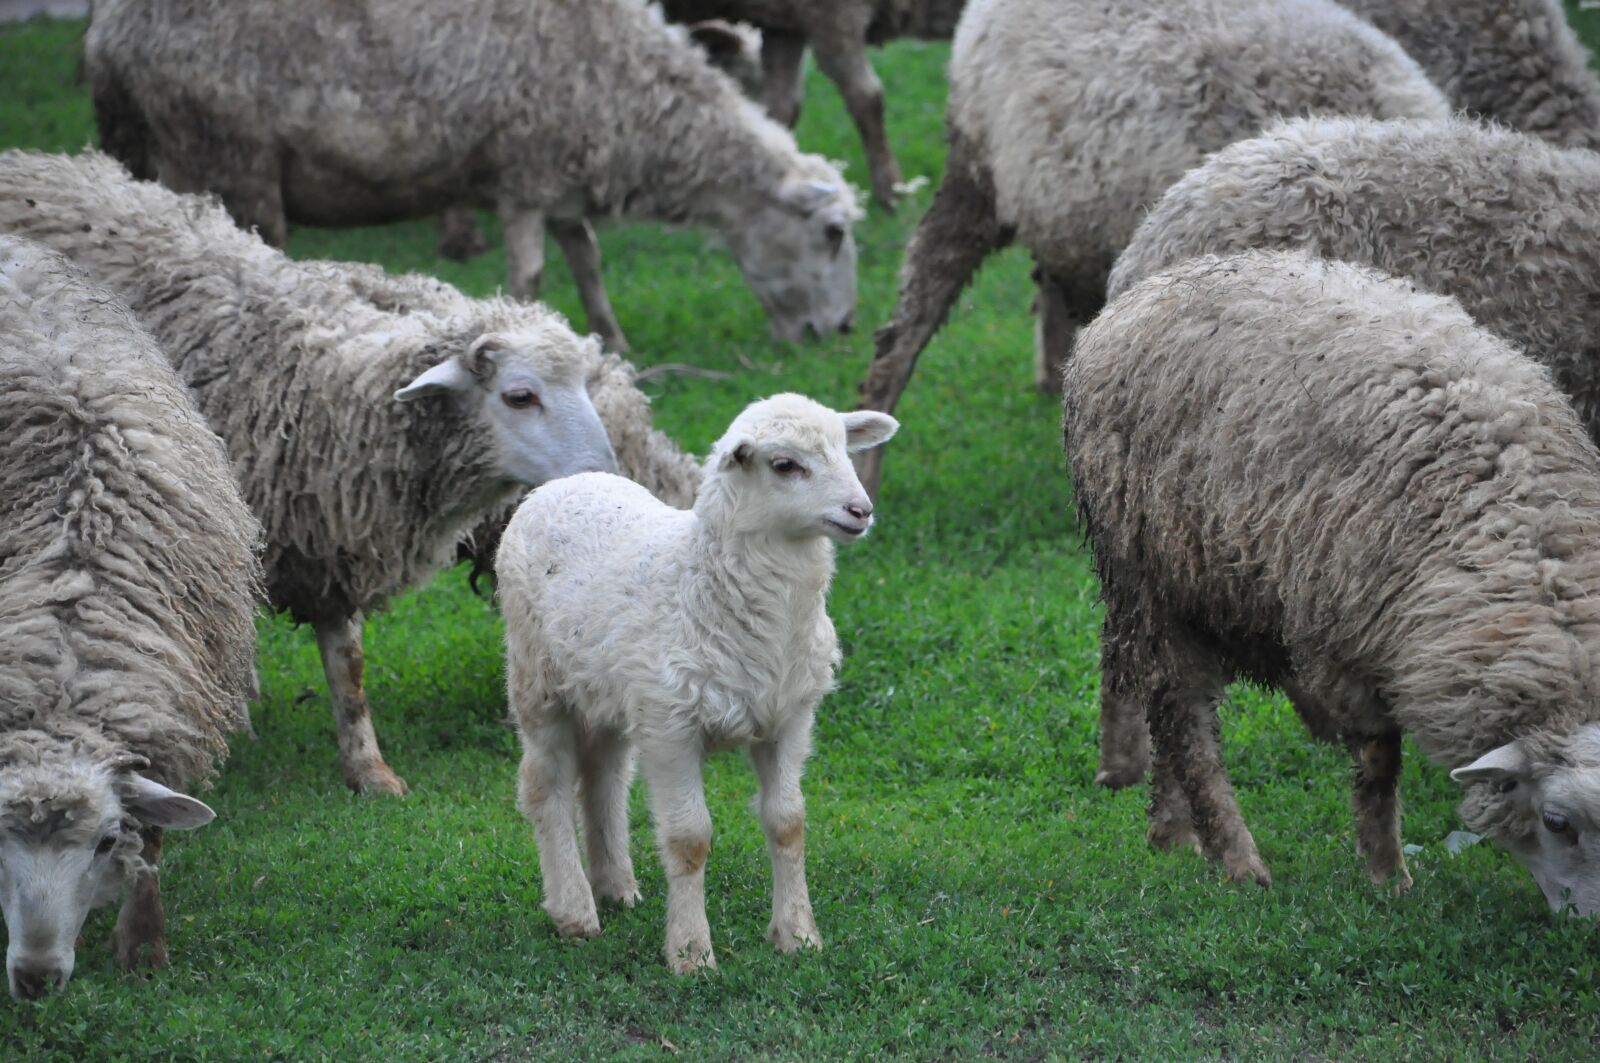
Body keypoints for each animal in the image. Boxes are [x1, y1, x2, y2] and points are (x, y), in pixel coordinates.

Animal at [0, 149, 699, 798]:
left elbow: (349, 666)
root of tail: (36, 163)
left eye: (582, 384)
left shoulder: (327, 543)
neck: (323, 391)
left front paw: (368, 770)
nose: (603, 472)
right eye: (520, 396)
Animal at [85, 0, 861, 354]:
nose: (842, 328)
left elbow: (588, 260)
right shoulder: (523, 177)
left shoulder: (559, 179)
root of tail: (110, 37)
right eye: (830, 232)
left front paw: (612, 340)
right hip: (223, 154)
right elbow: (531, 277)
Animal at [497, 394, 897, 972]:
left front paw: (797, 935)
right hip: (538, 680)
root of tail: (564, 483)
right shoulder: (672, 727)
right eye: (785, 465)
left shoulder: (789, 718)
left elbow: (788, 822)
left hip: (611, 692)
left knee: (604, 776)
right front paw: (691, 954)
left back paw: (615, 885)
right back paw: (575, 910)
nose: (860, 511)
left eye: (846, 449)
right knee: (544, 783)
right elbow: (690, 838)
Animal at [1064, 249, 1600, 911]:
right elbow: (1379, 762)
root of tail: (1149, 287)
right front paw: (1389, 875)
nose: (1588, 921)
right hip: (1153, 573)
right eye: (1556, 822)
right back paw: (1237, 860)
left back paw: (1173, 835)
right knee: (1182, 716)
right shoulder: (1348, 638)